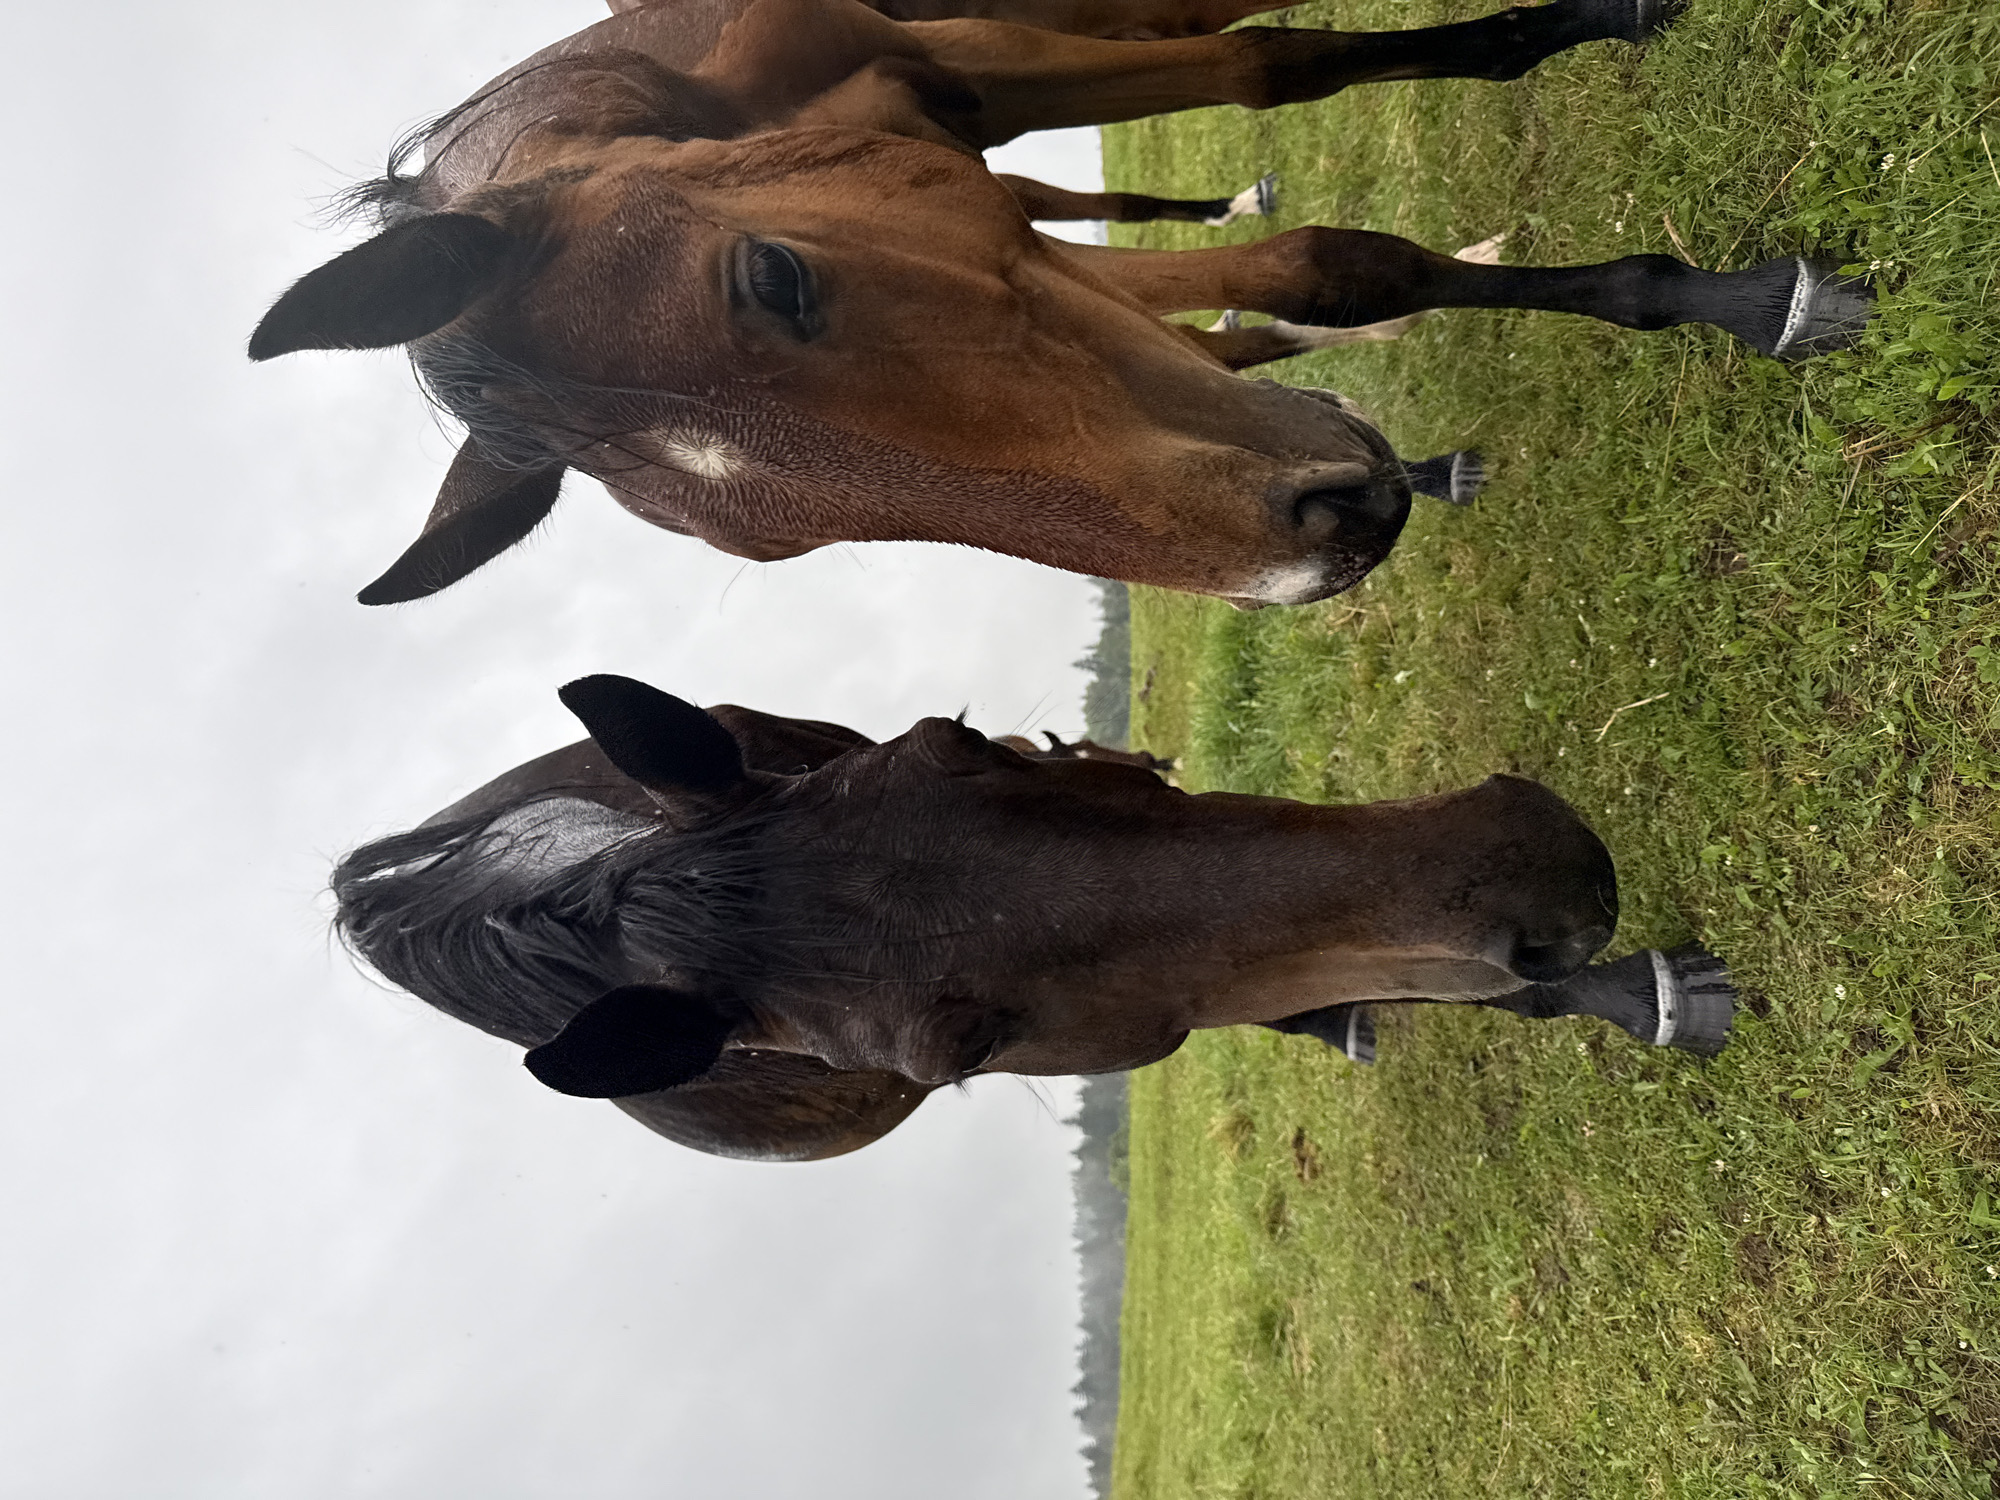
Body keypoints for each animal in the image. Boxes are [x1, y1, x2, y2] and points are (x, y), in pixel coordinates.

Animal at [251, 0, 1872, 609]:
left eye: (773, 277)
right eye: (778, 545)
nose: (1332, 533)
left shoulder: (973, 82)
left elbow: (1279, 79)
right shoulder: (1002, 216)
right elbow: (1306, 277)